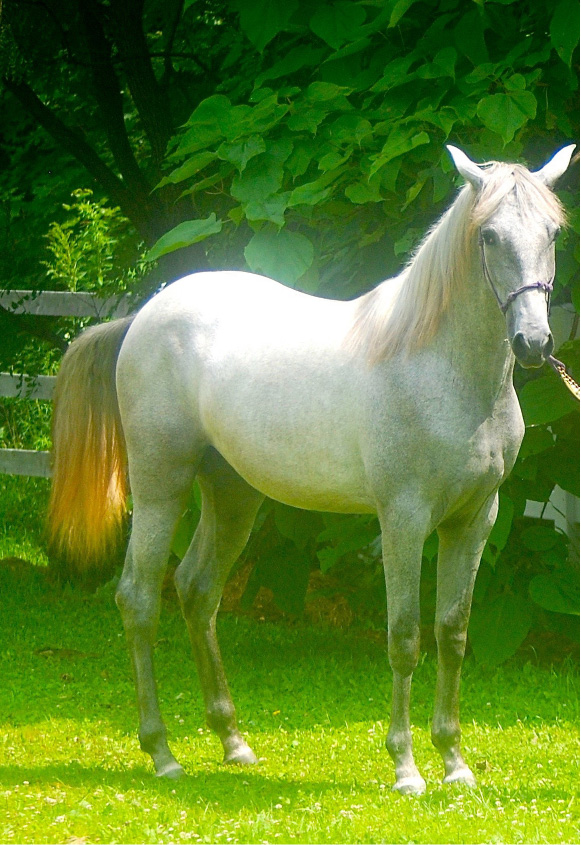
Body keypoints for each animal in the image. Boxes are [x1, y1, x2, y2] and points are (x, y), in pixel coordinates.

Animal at [48, 144, 574, 794]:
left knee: (197, 591)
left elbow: (452, 633)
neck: (438, 368)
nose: (533, 342)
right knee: (139, 600)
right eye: (489, 235)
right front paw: (406, 768)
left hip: (233, 495)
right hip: (159, 485)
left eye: (553, 232)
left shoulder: (474, 519)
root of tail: (144, 317)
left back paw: (233, 742)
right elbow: (405, 637)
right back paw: (163, 752)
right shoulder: (403, 520)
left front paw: (454, 763)